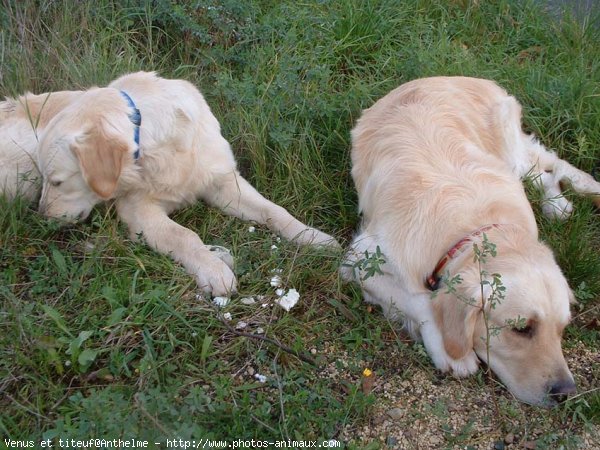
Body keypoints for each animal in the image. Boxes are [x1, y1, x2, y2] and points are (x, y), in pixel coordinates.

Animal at [0, 70, 338, 296]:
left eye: (57, 182)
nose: (43, 217)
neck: (164, 145)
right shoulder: (138, 210)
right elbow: (183, 235)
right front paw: (212, 268)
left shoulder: (223, 182)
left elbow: (275, 211)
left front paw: (314, 237)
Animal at [342, 75, 600, 406]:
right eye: (522, 329)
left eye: (562, 329)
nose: (565, 393)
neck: (473, 228)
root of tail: (444, 76)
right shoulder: (360, 260)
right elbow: (421, 299)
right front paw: (451, 352)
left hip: (512, 154)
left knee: (543, 169)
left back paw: (557, 204)